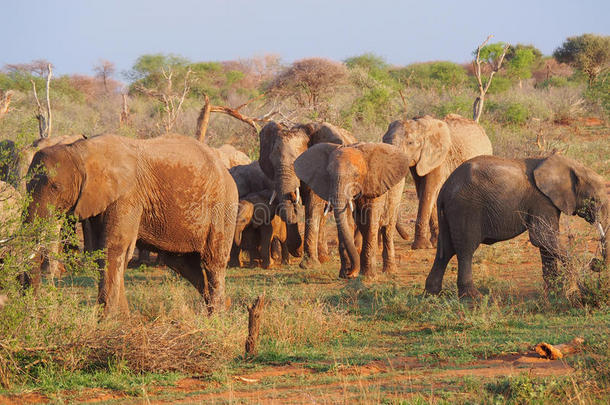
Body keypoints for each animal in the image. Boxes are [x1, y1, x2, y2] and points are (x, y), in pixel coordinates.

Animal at [27, 134, 238, 314]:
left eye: (55, 187)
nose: (35, 311)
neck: (81, 150)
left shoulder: (128, 196)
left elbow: (113, 248)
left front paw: (109, 321)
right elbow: (101, 250)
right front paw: (122, 320)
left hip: (222, 208)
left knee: (213, 261)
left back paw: (217, 316)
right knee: (182, 263)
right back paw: (218, 309)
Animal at [258, 121, 356, 270]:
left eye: (297, 163)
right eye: (271, 162)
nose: (293, 195)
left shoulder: (317, 170)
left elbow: (313, 206)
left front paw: (308, 265)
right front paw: (297, 250)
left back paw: (322, 259)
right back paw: (322, 258)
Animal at [294, 142, 408, 278]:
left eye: (356, 175)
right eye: (328, 175)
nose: (350, 272)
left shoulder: (374, 182)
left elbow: (372, 220)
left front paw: (368, 277)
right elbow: (347, 220)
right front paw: (345, 274)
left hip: (397, 192)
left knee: (387, 227)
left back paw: (389, 272)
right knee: (363, 225)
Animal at [382, 113, 492, 249]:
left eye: (410, 143)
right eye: (383, 140)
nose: (406, 236)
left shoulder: (439, 158)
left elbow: (428, 190)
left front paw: (421, 246)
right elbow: (424, 191)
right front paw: (433, 243)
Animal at [422, 152, 608, 296]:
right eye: (594, 200)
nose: (595, 262)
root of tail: (444, 189)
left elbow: (546, 243)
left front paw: (554, 292)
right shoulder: (542, 201)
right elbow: (542, 238)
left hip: (451, 213)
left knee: (446, 251)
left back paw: (432, 294)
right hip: (466, 208)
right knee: (465, 250)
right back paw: (473, 297)